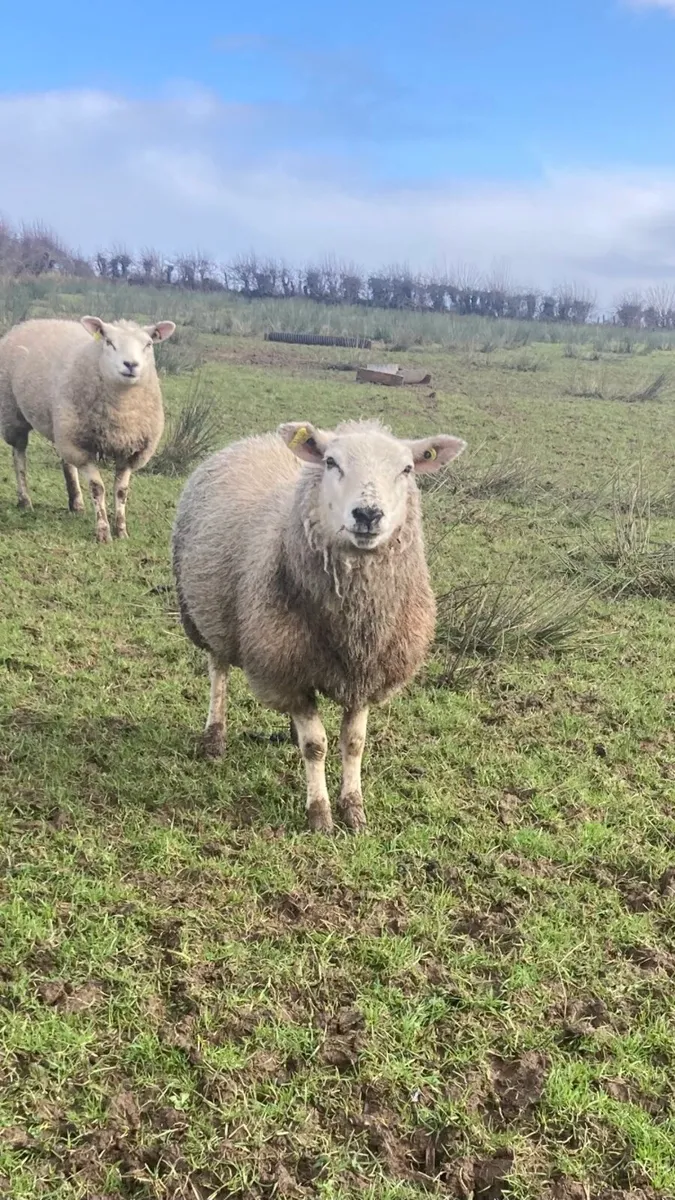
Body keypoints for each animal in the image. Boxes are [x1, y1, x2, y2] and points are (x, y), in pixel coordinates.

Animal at [0, 315, 175, 541]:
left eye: (148, 344)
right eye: (109, 342)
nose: (131, 364)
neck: (122, 413)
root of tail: (33, 321)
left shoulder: (131, 451)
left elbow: (121, 491)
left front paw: (122, 531)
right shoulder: (81, 450)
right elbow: (97, 488)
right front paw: (103, 532)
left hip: (63, 428)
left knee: (65, 462)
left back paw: (76, 503)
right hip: (13, 413)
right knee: (19, 457)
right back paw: (25, 500)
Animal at [172, 418, 466, 832]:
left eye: (407, 469)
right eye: (331, 462)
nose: (368, 514)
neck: (353, 622)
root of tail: (256, 439)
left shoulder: (365, 673)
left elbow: (354, 743)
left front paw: (354, 809)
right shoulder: (288, 669)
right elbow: (316, 746)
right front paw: (320, 814)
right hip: (207, 613)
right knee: (219, 671)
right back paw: (215, 738)